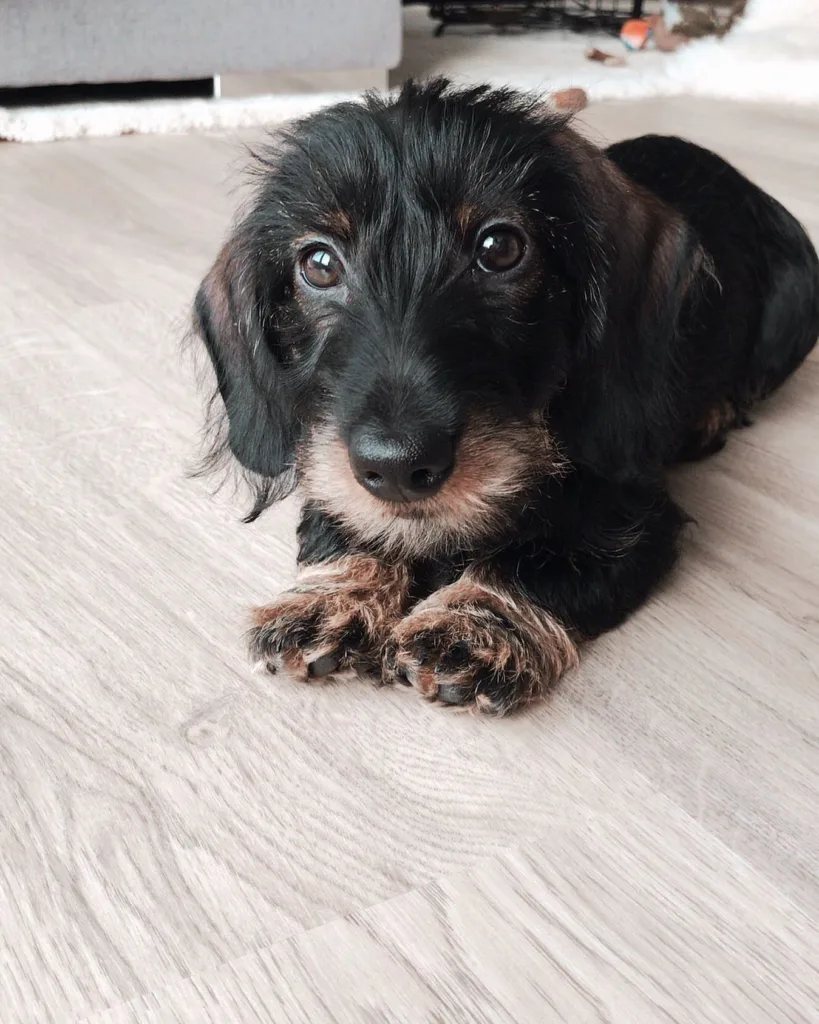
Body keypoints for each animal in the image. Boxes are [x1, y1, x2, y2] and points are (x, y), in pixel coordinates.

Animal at [193, 77, 818, 712]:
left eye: (500, 248)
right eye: (318, 263)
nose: (397, 467)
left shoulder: (631, 508)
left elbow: (544, 555)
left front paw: (472, 624)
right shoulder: (332, 464)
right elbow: (345, 514)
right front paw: (326, 600)